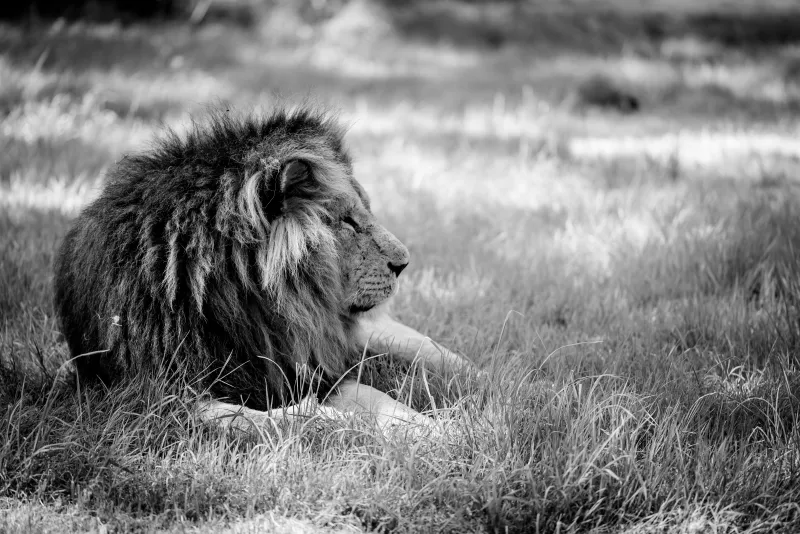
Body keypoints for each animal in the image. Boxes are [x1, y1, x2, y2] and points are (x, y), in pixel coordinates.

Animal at [53, 106, 470, 435]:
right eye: (348, 222)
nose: (404, 263)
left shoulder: (313, 368)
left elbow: (383, 399)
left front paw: (443, 430)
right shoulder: (158, 397)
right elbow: (268, 419)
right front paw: (340, 423)